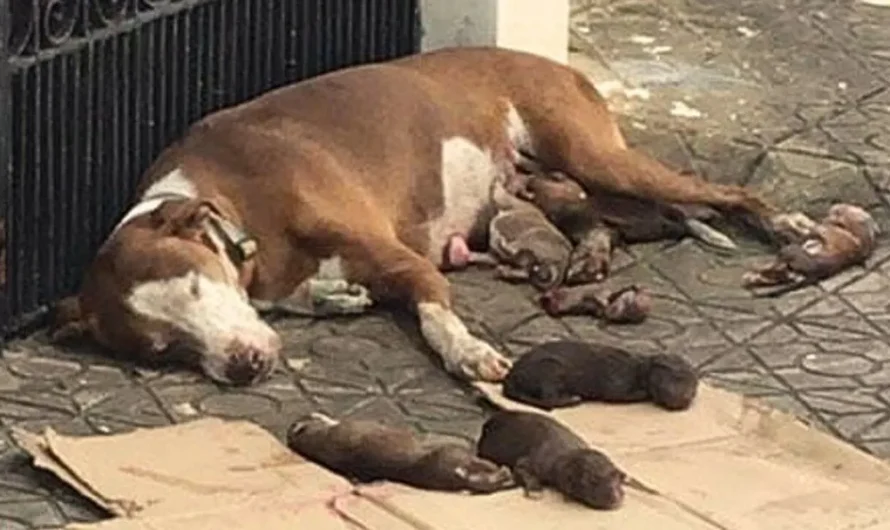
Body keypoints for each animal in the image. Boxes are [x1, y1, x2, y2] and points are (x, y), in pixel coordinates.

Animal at [52, 46, 772, 384]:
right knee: (617, 219)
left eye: (199, 288)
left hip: (595, 155)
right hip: (571, 184)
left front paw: (470, 353)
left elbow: (434, 314)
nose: (243, 365)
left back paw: (784, 233)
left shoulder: (402, 259)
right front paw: (337, 298)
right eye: (163, 349)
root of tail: (557, 66)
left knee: (726, 195)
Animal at [288, 412, 512, 490]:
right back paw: (504, 472)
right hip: (458, 454)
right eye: (309, 418)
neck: (322, 438)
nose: (313, 412)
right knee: (484, 470)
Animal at [476, 408, 628, 508]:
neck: (568, 452)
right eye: (592, 480)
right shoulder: (531, 461)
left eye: (617, 477)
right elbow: (524, 469)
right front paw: (535, 491)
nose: (616, 497)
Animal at [500, 340, 692, 410]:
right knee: (548, 399)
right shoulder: (617, 380)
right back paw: (571, 399)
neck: (638, 369)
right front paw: (644, 393)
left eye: (692, 386)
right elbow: (618, 394)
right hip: (550, 368)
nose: (683, 397)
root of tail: (510, 376)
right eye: (674, 379)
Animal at [744, 203, 880, 296]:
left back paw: (753, 272)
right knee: (775, 275)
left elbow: (807, 231)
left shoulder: (819, 230)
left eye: (840, 211)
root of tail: (813, 273)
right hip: (788, 269)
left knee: (774, 267)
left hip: (789, 253)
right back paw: (751, 278)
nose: (835, 206)